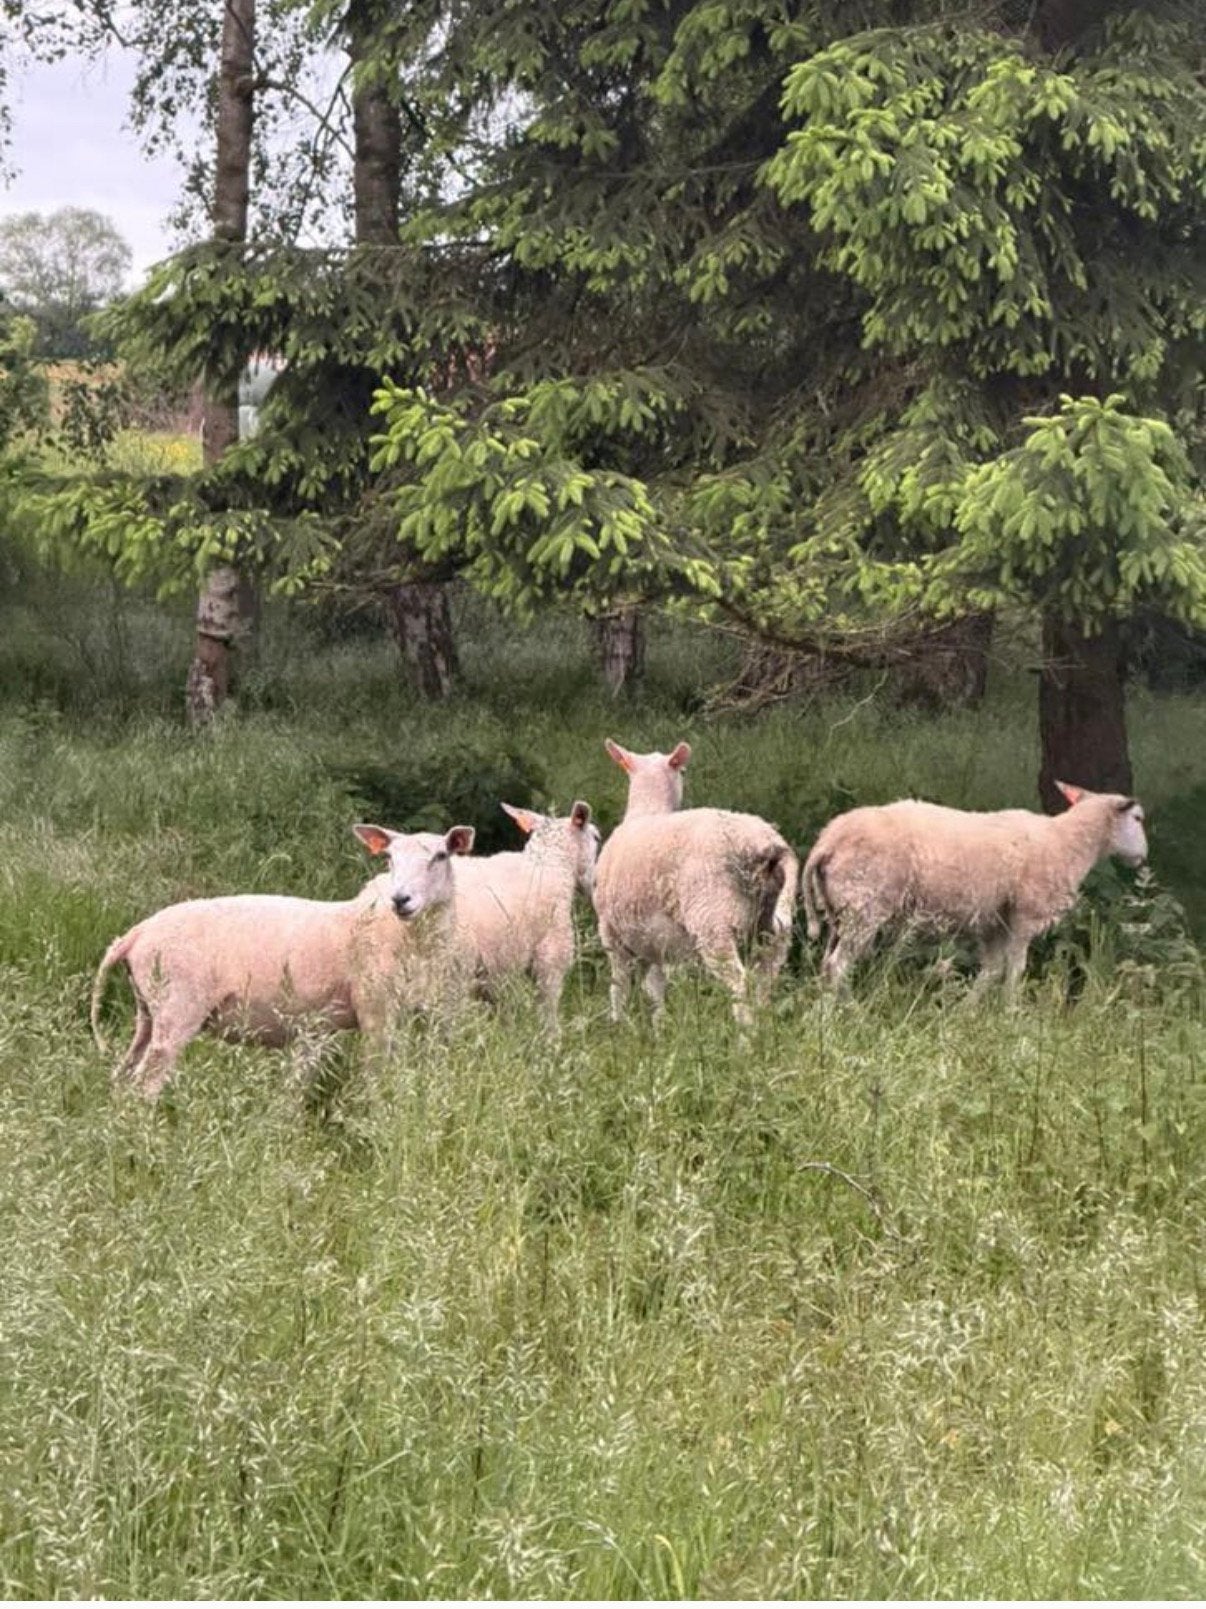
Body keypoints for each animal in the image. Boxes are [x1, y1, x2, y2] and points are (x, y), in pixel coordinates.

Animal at [90, 822, 475, 1098]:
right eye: (390, 859)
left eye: (441, 856)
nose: (400, 899)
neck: (404, 937)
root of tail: (135, 934)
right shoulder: (376, 1011)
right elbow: (379, 1079)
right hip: (178, 1009)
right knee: (145, 1086)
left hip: (149, 1012)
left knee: (122, 1077)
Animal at [450, 799, 601, 1026]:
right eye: (597, 837)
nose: (595, 884)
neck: (550, 865)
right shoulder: (550, 961)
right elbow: (548, 1013)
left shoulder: (494, 971)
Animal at [593, 737, 799, 1026]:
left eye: (683, 771)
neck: (648, 809)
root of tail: (763, 843)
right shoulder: (655, 942)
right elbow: (655, 988)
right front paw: (660, 1026)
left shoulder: (610, 931)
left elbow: (619, 985)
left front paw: (618, 1024)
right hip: (772, 927)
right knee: (766, 980)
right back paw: (765, 1026)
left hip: (713, 918)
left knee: (739, 981)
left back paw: (746, 1033)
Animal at [802, 782, 1148, 994]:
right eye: (1138, 818)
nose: (1143, 857)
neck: (1067, 842)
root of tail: (828, 840)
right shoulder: (1025, 915)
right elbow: (1015, 970)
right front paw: (1011, 1015)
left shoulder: (995, 921)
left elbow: (991, 971)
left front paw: (968, 1017)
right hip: (866, 905)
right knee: (838, 966)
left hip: (841, 910)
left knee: (827, 965)